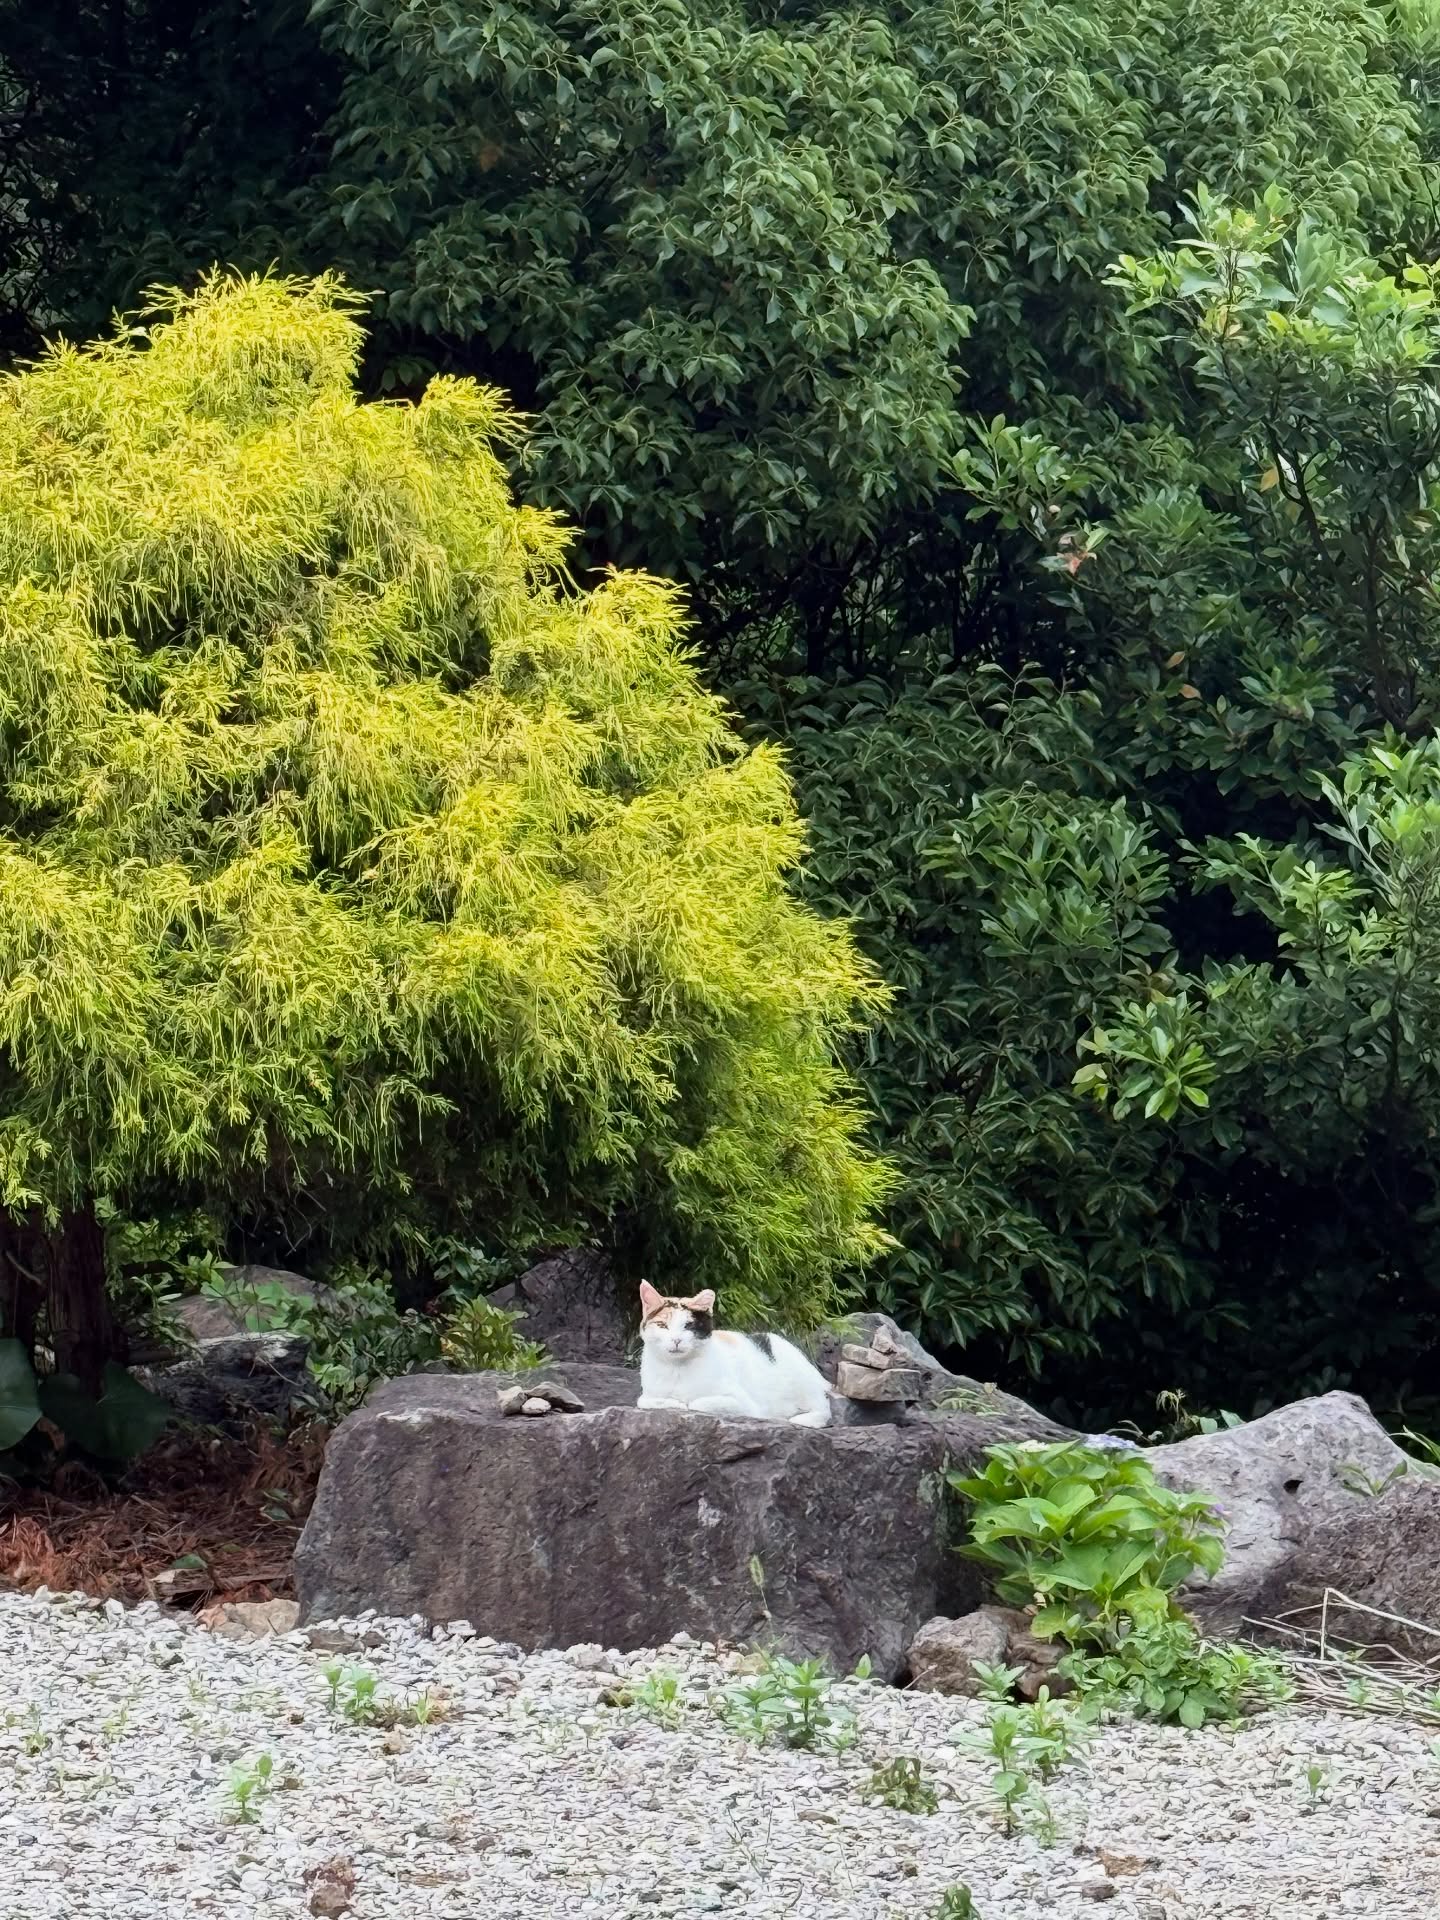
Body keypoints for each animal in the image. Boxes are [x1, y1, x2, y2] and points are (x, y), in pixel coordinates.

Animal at [635, 1280, 832, 1428]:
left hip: (803, 1383)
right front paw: (674, 1403)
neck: (677, 1368)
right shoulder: (648, 1395)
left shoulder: (744, 1403)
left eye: (689, 1326)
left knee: (824, 1409)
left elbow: (696, 1403)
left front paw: (684, 1403)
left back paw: (800, 1419)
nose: (676, 1340)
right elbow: (643, 1401)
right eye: (662, 1325)